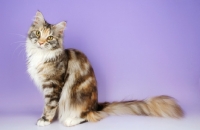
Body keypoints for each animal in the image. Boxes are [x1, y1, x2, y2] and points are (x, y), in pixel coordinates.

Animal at [25, 11, 184, 127]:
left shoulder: (53, 85)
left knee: (89, 116)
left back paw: (70, 120)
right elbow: (50, 105)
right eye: (38, 33)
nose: (41, 42)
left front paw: (45, 120)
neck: (40, 55)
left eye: (50, 37)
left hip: (75, 96)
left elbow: (49, 105)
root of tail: (97, 106)